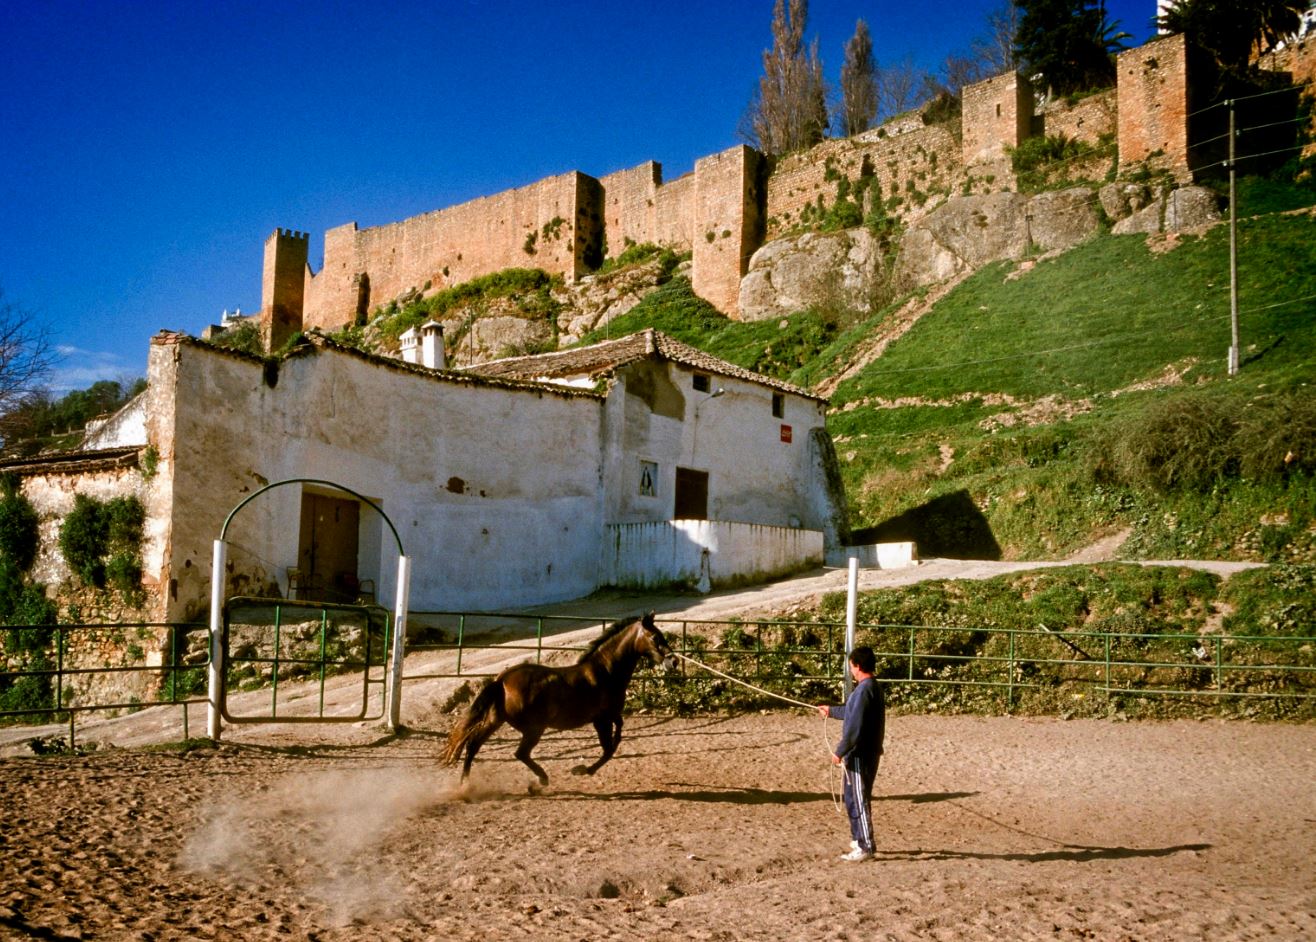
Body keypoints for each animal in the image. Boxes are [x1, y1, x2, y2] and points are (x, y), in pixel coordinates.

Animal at [444, 607, 679, 789]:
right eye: (655, 637)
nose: (674, 661)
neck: (605, 671)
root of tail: (502, 680)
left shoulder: (608, 717)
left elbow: (614, 741)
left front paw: (584, 769)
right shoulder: (602, 719)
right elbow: (610, 748)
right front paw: (581, 770)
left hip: (496, 720)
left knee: (473, 745)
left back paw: (465, 785)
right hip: (534, 728)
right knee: (520, 753)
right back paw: (541, 781)